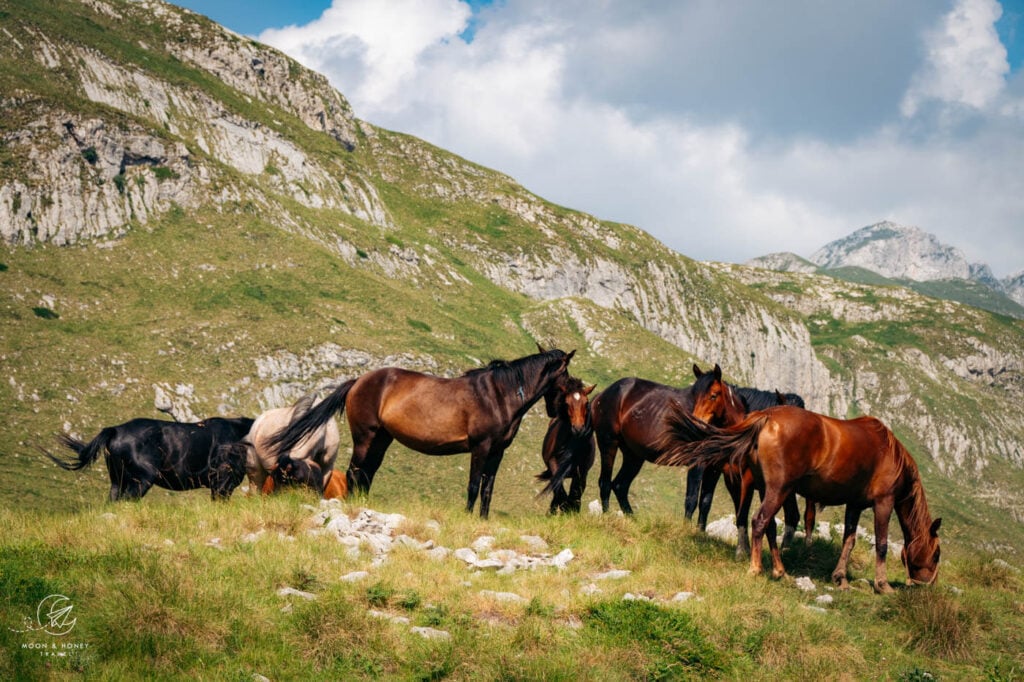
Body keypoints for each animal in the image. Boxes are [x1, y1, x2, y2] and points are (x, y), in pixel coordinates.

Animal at [268, 345, 575, 519]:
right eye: (566, 375)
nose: (556, 411)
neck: (499, 394)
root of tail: (358, 381)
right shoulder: (481, 447)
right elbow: (474, 485)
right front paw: (468, 516)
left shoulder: (497, 452)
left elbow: (488, 488)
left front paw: (483, 519)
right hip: (366, 437)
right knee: (356, 473)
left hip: (382, 439)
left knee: (367, 473)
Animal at [535, 375, 596, 514]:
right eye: (567, 403)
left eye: (586, 403)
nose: (578, 429)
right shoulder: (553, 463)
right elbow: (559, 488)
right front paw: (563, 508)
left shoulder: (582, 470)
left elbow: (576, 492)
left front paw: (572, 510)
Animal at [592, 364, 740, 515]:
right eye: (695, 396)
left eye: (713, 396)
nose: (695, 423)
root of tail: (601, 395)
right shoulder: (696, 463)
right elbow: (691, 500)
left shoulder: (714, 468)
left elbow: (705, 503)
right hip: (609, 443)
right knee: (605, 483)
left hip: (633, 455)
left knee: (620, 485)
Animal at [658, 405, 942, 593]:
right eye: (937, 553)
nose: (928, 585)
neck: (889, 451)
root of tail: (766, 417)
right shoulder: (884, 502)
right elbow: (881, 544)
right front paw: (883, 586)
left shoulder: (854, 504)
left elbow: (848, 542)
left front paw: (840, 578)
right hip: (779, 489)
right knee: (759, 522)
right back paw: (756, 568)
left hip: (769, 489)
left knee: (770, 526)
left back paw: (780, 570)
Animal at [684, 366, 812, 558]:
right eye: (694, 394)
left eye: (713, 395)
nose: (696, 423)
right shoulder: (730, 478)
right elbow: (735, 512)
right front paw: (744, 548)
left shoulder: (748, 480)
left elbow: (745, 512)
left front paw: (742, 550)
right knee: (793, 515)